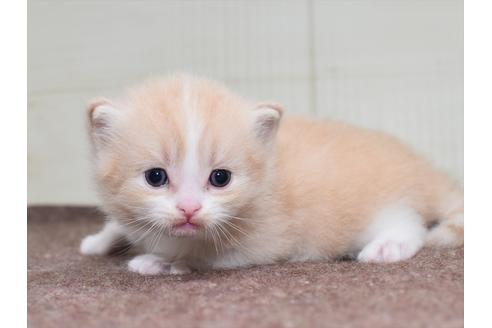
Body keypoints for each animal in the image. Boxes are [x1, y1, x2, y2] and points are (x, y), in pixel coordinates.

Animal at [79, 74, 464, 274]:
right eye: (155, 177)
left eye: (220, 178)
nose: (189, 209)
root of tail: (422, 167)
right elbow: (123, 223)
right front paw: (100, 239)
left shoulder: (266, 239)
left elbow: (204, 256)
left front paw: (160, 261)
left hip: (374, 208)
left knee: (410, 222)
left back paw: (388, 247)